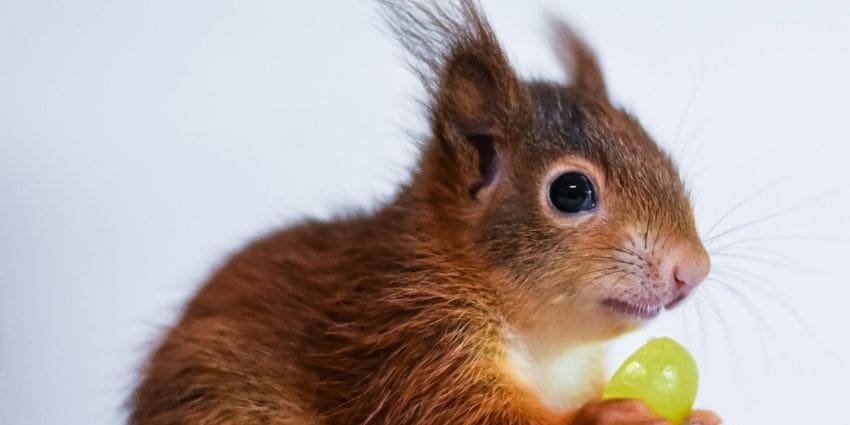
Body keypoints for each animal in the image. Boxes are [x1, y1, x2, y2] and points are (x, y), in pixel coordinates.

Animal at [129, 1, 720, 422]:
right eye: (571, 192)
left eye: (657, 150)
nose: (692, 270)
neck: (545, 342)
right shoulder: (408, 343)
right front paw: (614, 415)